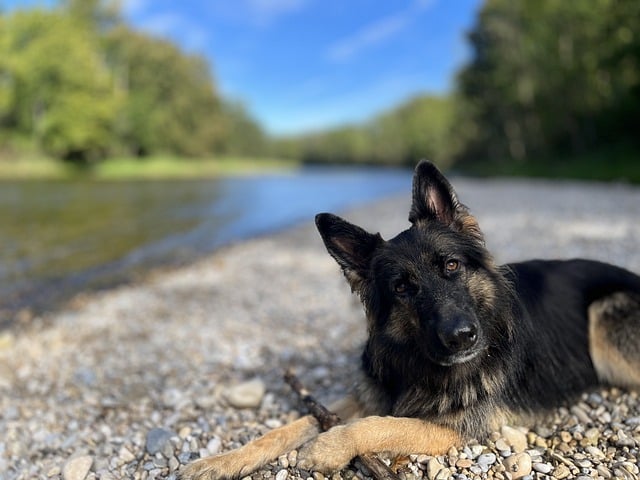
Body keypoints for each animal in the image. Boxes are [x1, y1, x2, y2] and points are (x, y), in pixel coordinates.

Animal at [180, 161, 640, 480]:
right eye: (402, 288)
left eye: (452, 266)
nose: (461, 337)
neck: (419, 362)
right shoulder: (371, 392)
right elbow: (293, 425)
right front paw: (221, 461)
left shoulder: (456, 427)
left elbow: (380, 424)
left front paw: (327, 447)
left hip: (604, 319)